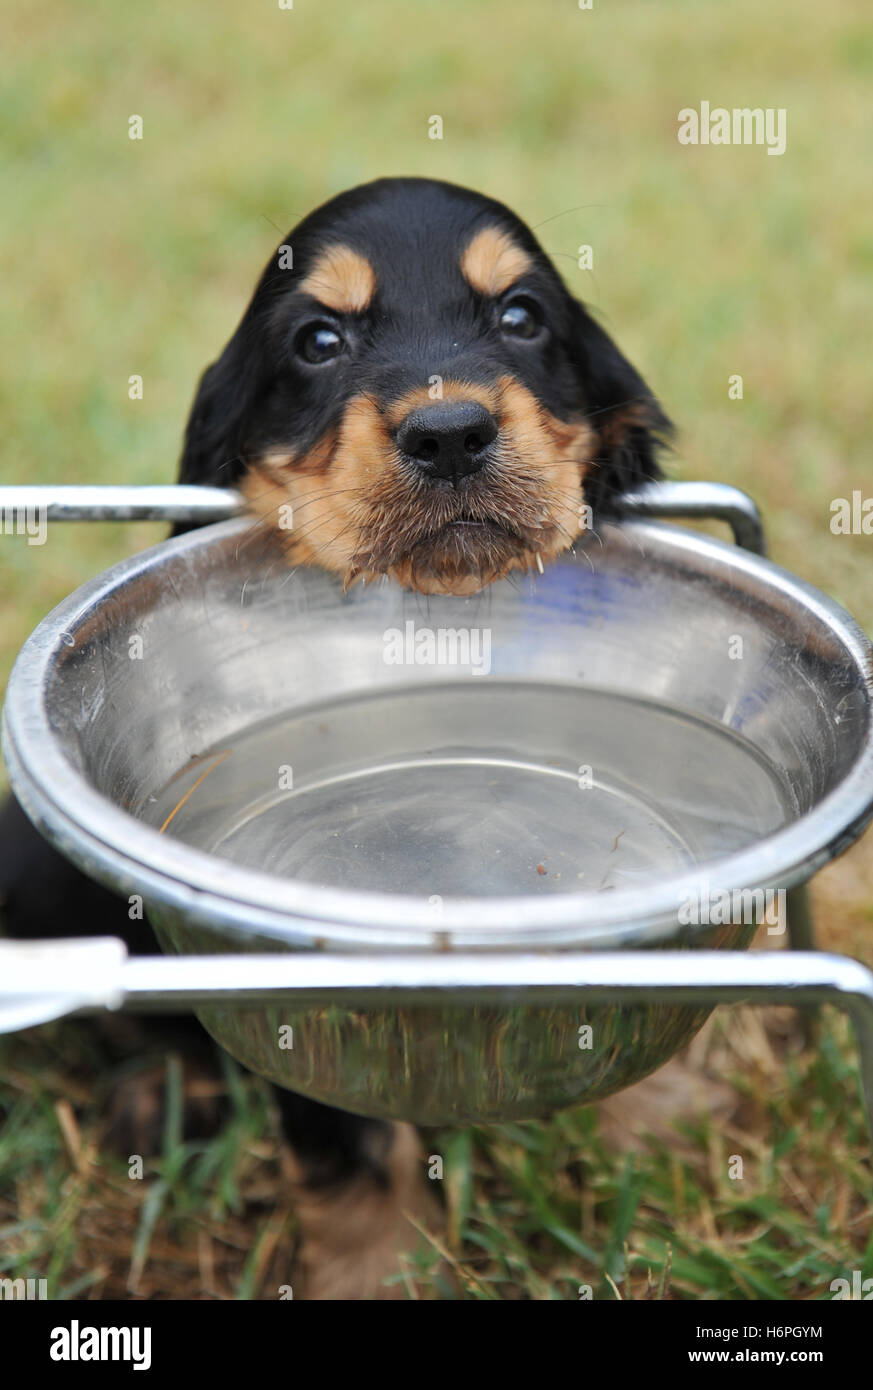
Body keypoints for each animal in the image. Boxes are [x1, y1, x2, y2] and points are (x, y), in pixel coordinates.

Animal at [0, 179, 672, 1295]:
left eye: (522, 317)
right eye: (318, 340)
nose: (450, 433)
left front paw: (653, 1132)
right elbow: (350, 1142)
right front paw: (380, 1272)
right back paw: (161, 1095)